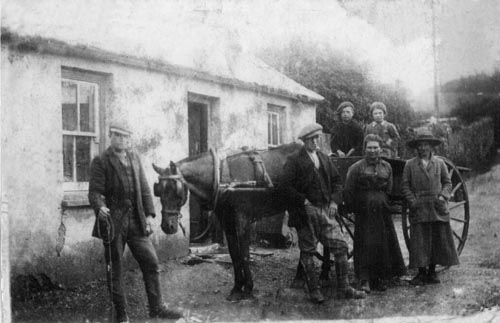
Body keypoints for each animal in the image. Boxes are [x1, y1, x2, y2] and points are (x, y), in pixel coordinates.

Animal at [152, 144, 332, 302]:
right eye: (158, 190)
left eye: (175, 190)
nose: (167, 226)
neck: (222, 177)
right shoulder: (227, 222)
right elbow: (234, 255)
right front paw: (237, 288)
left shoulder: (242, 219)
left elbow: (245, 254)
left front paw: (248, 289)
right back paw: (302, 278)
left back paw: (322, 276)